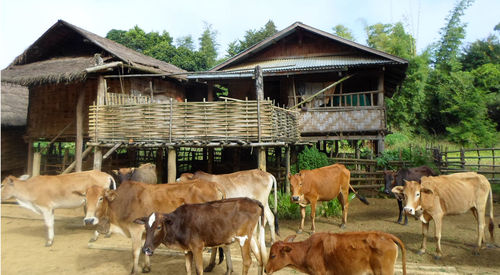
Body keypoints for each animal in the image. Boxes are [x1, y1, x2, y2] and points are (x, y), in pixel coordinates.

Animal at [82, 180, 227, 274]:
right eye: (85, 200)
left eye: (101, 198)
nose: (89, 220)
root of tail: (214, 184)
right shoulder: (144, 231)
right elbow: (144, 248)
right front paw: (147, 267)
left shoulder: (135, 229)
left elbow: (135, 252)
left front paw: (134, 271)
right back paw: (211, 266)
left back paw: (210, 266)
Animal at [133, 198, 266, 275]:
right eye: (145, 227)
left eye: (159, 227)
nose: (146, 249)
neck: (180, 223)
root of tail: (253, 201)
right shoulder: (187, 250)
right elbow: (188, 269)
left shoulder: (197, 248)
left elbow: (199, 270)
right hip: (252, 237)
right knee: (260, 259)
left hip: (243, 238)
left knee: (247, 261)